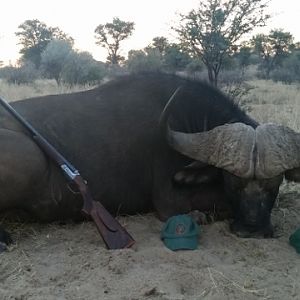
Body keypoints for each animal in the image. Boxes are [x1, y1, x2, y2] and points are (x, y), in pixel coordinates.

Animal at [0, 74, 300, 247]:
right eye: (232, 182)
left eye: (276, 184)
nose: (254, 229)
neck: (187, 120)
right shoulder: (169, 202)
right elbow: (209, 210)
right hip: (32, 157)